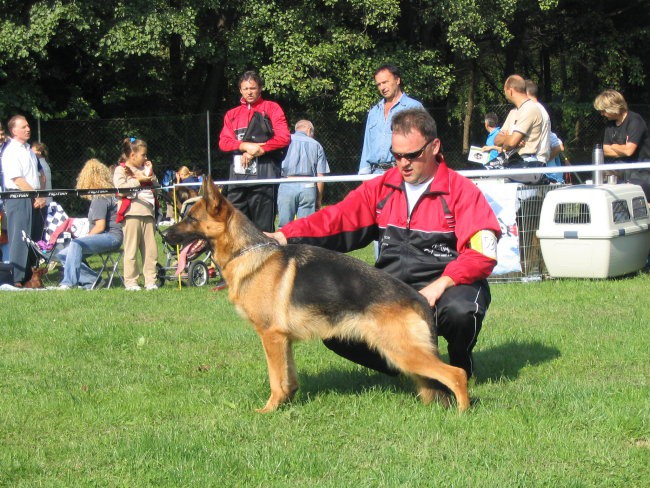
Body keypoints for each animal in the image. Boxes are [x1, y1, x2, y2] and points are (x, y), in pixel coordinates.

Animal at [161, 179, 466, 412]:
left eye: (191, 219)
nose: (164, 237)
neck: (247, 252)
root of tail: (419, 299)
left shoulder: (270, 337)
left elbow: (275, 379)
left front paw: (269, 410)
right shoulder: (283, 340)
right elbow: (288, 379)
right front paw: (286, 403)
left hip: (402, 351)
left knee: (457, 374)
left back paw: (463, 413)